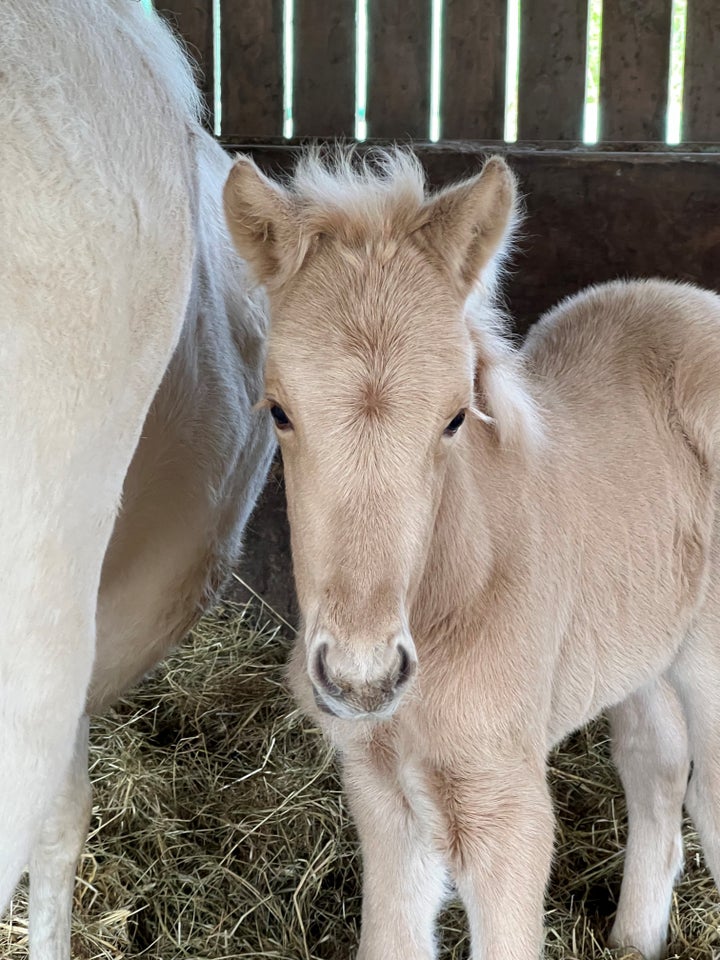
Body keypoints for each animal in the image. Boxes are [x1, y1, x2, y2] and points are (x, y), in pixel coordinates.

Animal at [225, 146, 720, 956]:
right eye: (279, 411)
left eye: (456, 417)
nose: (363, 677)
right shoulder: (381, 791)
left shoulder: (507, 809)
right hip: (640, 646)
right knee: (657, 768)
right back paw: (631, 939)